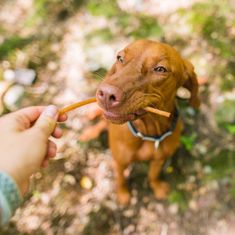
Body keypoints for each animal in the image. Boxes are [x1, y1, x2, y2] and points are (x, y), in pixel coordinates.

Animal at [95, 39, 200, 205]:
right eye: (120, 58)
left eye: (160, 69)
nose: (106, 94)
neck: (149, 132)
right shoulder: (120, 161)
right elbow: (120, 178)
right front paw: (122, 194)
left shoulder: (160, 159)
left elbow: (153, 175)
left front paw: (157, 188)